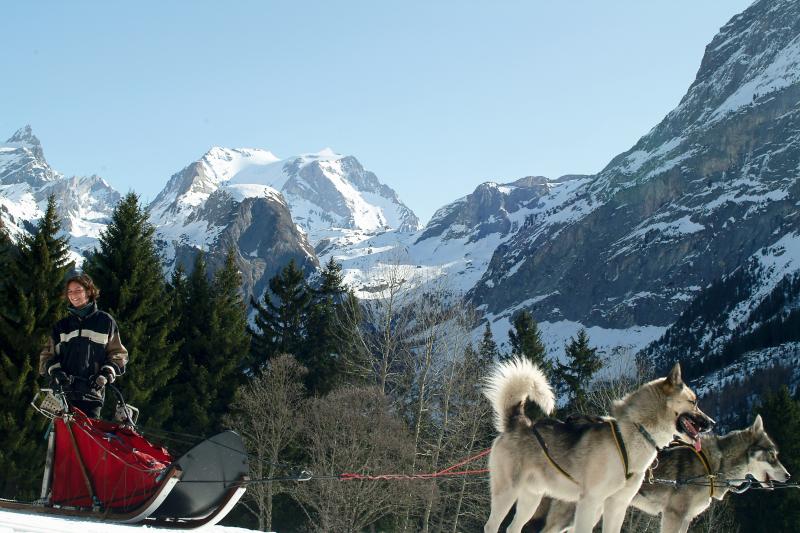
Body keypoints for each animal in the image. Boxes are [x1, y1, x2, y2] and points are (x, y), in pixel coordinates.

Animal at [482, 356, 712, 532]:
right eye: (694, 402)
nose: (712, 423)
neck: (632, 434)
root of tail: (519, 422)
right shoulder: (590, 502)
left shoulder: (616, 505)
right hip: (507, 492)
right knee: (491, 526)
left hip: (531, 498)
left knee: (513, 528)